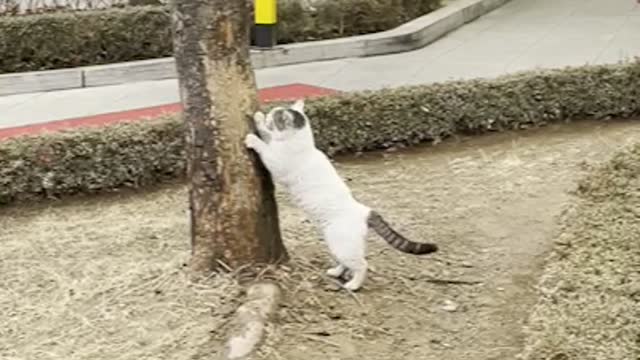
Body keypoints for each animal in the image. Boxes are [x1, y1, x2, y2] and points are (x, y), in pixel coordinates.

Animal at [242, 98, 438, 290]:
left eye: (274, 117)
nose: (267, 114)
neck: (301, 142)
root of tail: (365, 211)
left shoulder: (276, 161)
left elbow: (264, 146)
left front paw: (253, 136)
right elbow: (266, 136)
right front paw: (258, 119)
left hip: (343, 246)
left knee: (362, 265)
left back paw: (353, 285)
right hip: (335, 244)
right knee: (345, 263)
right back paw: (335, 272)